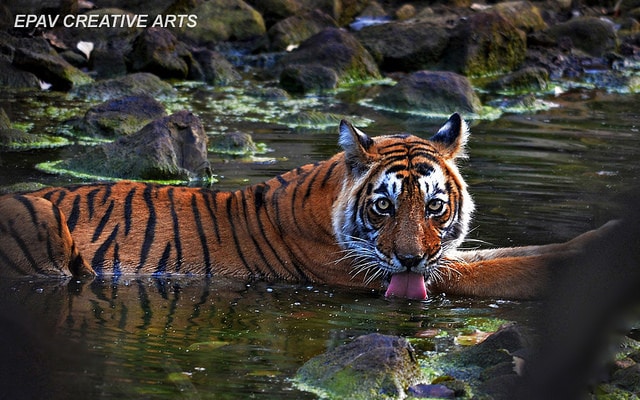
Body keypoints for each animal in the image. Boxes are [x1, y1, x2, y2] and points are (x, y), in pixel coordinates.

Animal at [0, 114, 616, 298]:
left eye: (435, 207)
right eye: (384, 207)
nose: (411, 260)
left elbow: (505, 254)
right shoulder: (369, 273)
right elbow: (506, 269)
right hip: (39, 218)